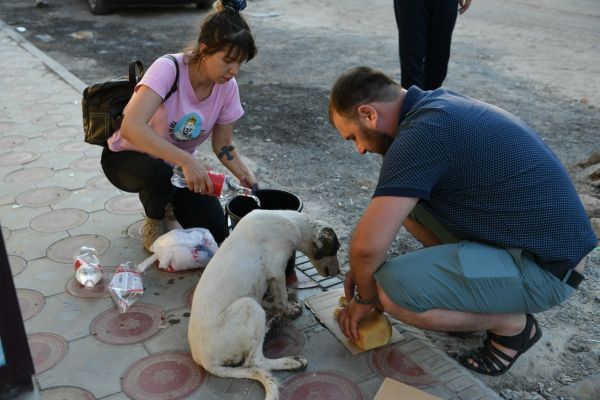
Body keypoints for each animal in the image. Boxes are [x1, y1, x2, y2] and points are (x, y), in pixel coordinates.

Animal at [188, 209, 340, 400]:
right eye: (335, 248)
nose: (339, 272)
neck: (292, 222)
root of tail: (205, 361)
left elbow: (273, 298)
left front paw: (276, 307)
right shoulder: (276, 271)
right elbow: (282, 298)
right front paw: (289, 310)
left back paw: (271, 324)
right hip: (249, 306)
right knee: (254, 361)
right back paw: (291, 361)